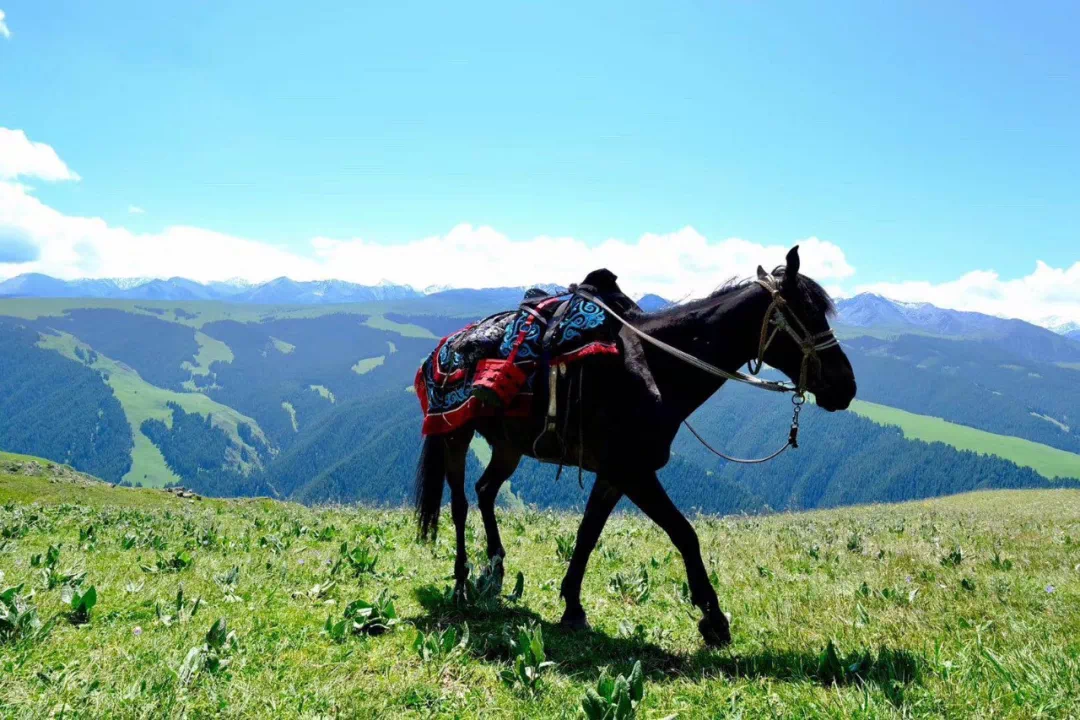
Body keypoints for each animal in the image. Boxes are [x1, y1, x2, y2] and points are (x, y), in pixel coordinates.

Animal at [413, 246, 857, 646]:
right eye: (807, 313)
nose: (846, 386)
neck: (657, 369)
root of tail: (444, 347)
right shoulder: (635, 472)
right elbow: (684, 533)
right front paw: (713, 619)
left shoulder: (614, 475)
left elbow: (588, 534)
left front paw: (572, 606)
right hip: (455, 434)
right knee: (459, 503)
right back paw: (461, 580)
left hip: (509, 447)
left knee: (485, 490)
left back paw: (495, 568)